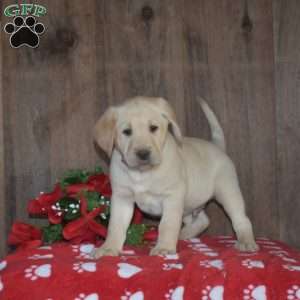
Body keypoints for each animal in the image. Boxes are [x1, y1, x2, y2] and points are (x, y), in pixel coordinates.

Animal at [91, 96, 258, 258]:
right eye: (127, 131)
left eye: (153, 128)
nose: (143, 153)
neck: (142, 173)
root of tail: (217, 146)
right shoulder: (122, 197)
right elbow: (115, 226)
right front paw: (109, 248)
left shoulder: (172, 197)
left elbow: (167, 225)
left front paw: (164, 248)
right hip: (189, 204)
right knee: (203, 220)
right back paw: (183, 235)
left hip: (228, 192)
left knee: (241, 219)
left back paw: (246, 242)